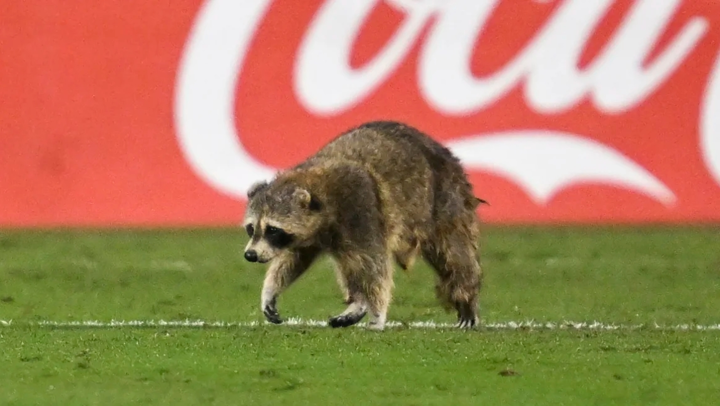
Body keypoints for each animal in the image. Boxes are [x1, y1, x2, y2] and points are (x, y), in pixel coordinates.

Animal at [242, 121, 486, 330]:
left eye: (273, 229)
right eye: (251, 228)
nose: (250, 255)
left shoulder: (361, 208)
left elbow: (374, 265)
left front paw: (377, 312)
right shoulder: (308, 234)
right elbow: (294, 259)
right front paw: (271, 290)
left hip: (446, 198)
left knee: (453, 253)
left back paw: (466, 294)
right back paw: (356, 302)